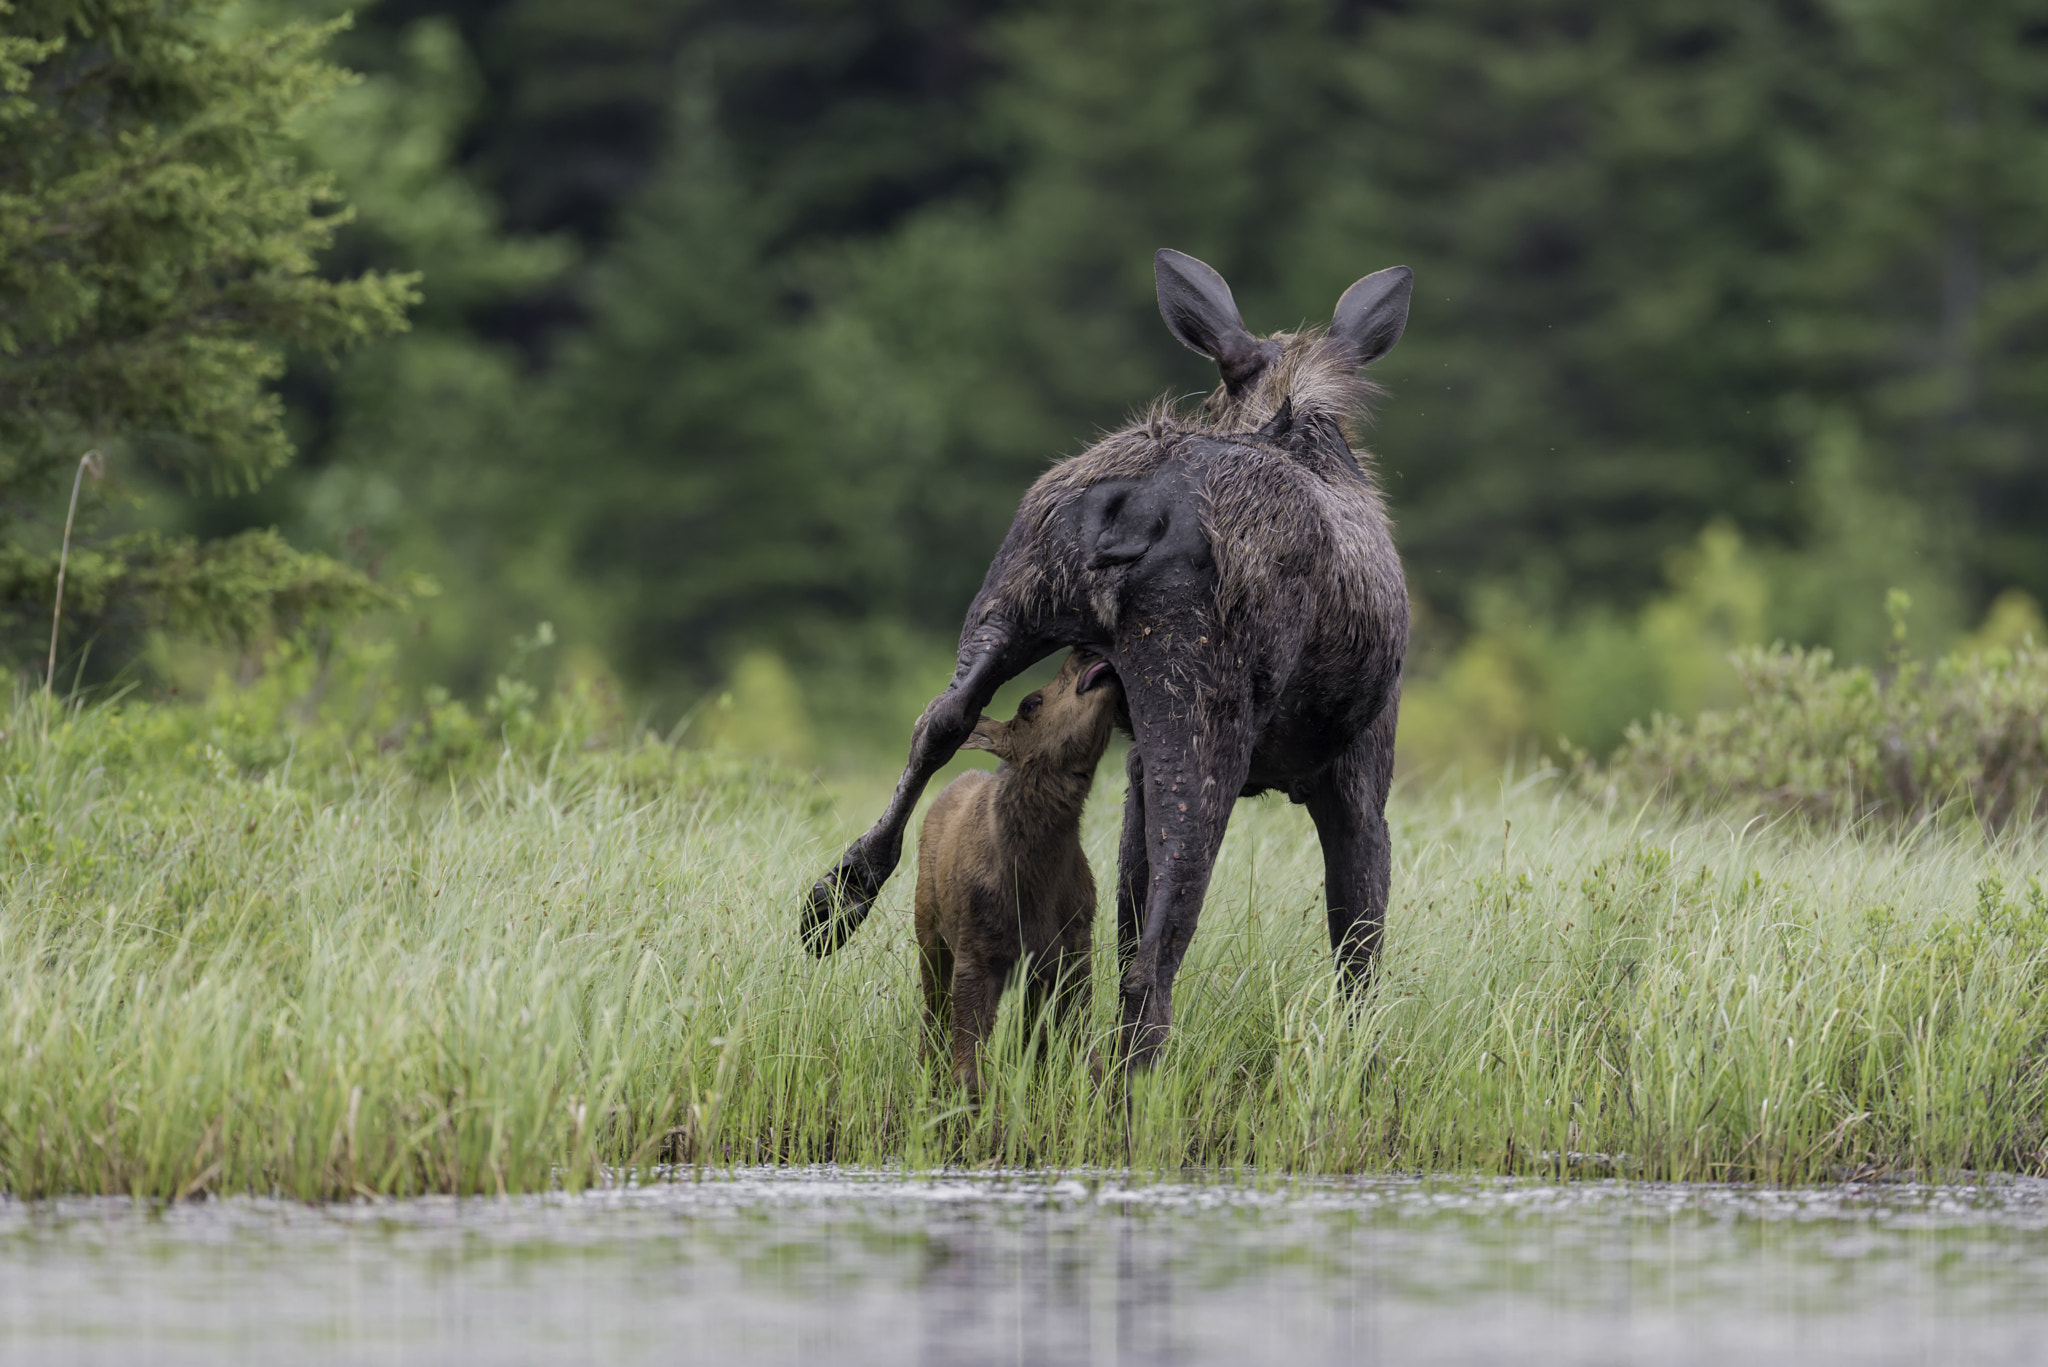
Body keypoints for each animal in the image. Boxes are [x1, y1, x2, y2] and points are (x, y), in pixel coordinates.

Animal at [921, 651, 1130, 1090]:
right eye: (1030, 702)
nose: (1082, 652)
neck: (1034, 879)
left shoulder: (1071, 952)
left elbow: (1085, 1056)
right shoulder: (976, 954)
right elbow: (969, 1068)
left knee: (1032, 1037)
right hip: (929, 935)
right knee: (932, 1017)